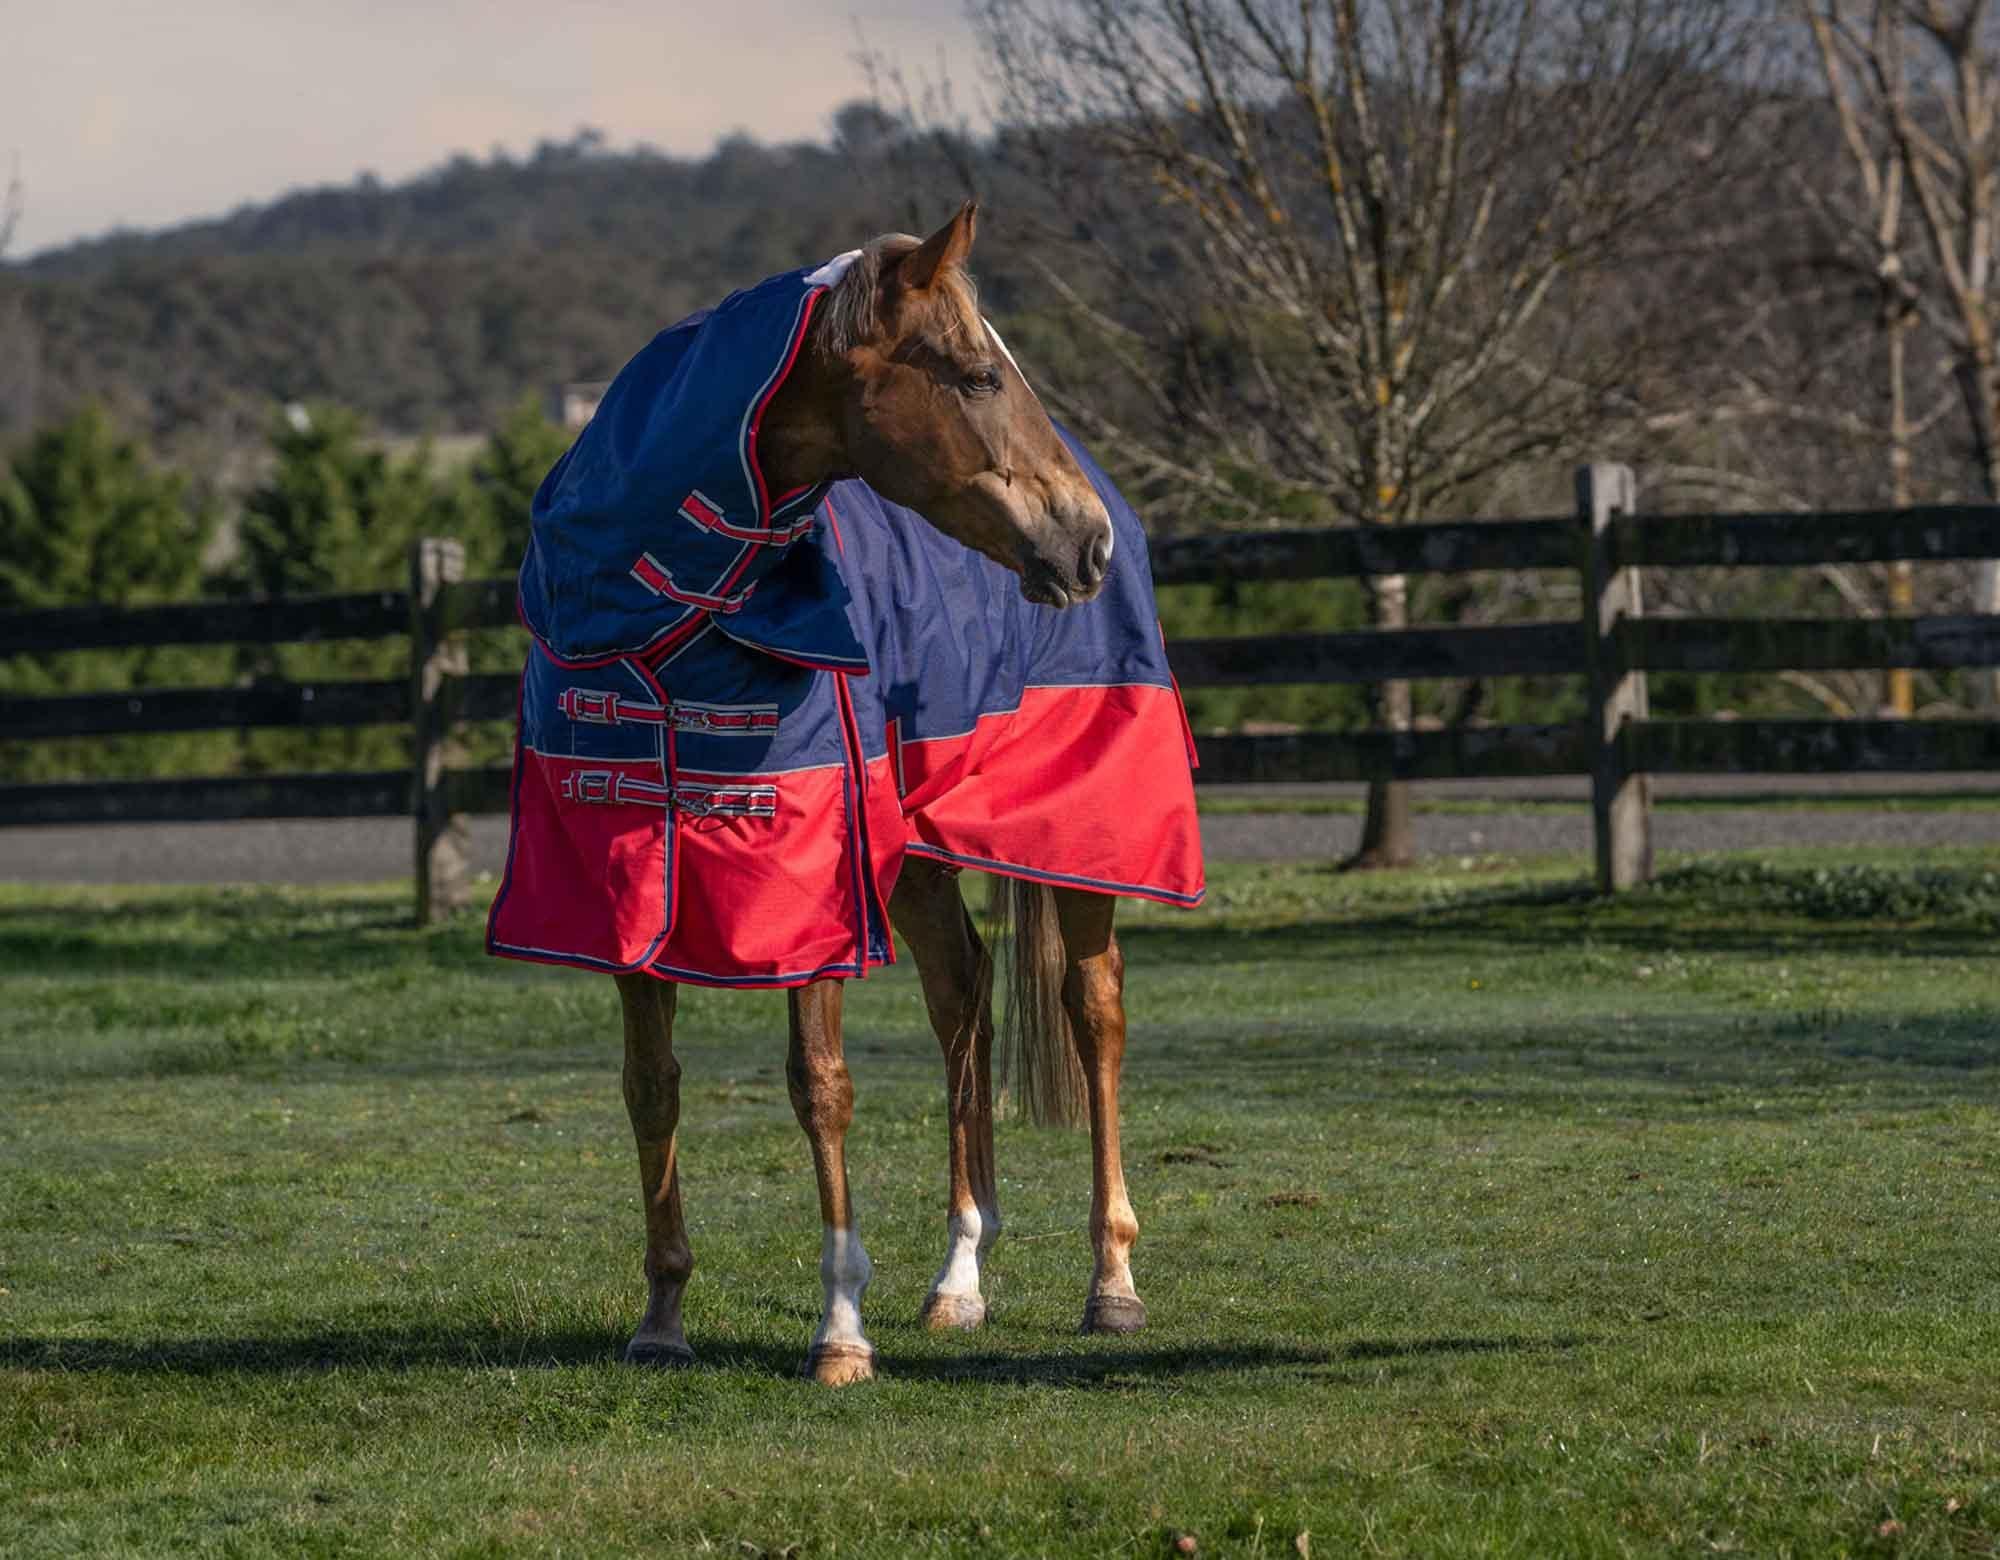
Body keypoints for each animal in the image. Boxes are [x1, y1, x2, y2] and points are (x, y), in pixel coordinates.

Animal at [486, 202, 1205, 1385]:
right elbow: (651, 1084)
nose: (1083, 539)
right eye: (975, 374)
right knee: (963, 994)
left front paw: (838, 1330)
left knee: (1093, 1011)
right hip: (908, 852)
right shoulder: (627, 899)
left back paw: (1112, 1282)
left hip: (1075, 835)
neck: (670, 626)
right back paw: (959, 1277)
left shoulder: (809, 883)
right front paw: (662, 1314)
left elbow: (819, 1085)